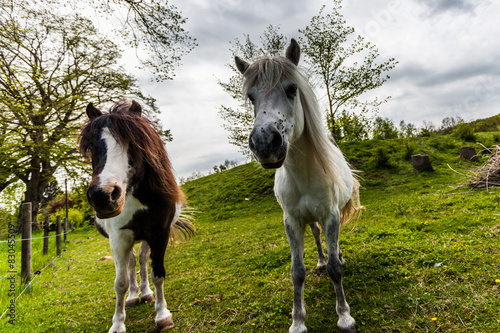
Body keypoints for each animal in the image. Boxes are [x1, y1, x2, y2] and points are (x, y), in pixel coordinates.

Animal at [79, 100, 194, 330]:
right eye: (92, 146)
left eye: (132, 143)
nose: (102, 196)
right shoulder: (118, 238)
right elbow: (120, 283)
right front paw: (117, 324)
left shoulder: (159, 233)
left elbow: (157, 273)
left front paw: (162, 315)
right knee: (131, 263)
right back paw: (133, 296)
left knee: (140, 259)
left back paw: (146, 293)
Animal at [236, 39, 362, 332]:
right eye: (251, 97)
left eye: (292, 88)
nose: (264, 143)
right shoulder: (291, 220)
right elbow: (297, 271)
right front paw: (298, 321)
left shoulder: (331, 215)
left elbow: (335, 270)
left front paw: (344, 316)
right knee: (316, 235)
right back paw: (320, 260)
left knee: (332, 245)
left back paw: (337, 256)